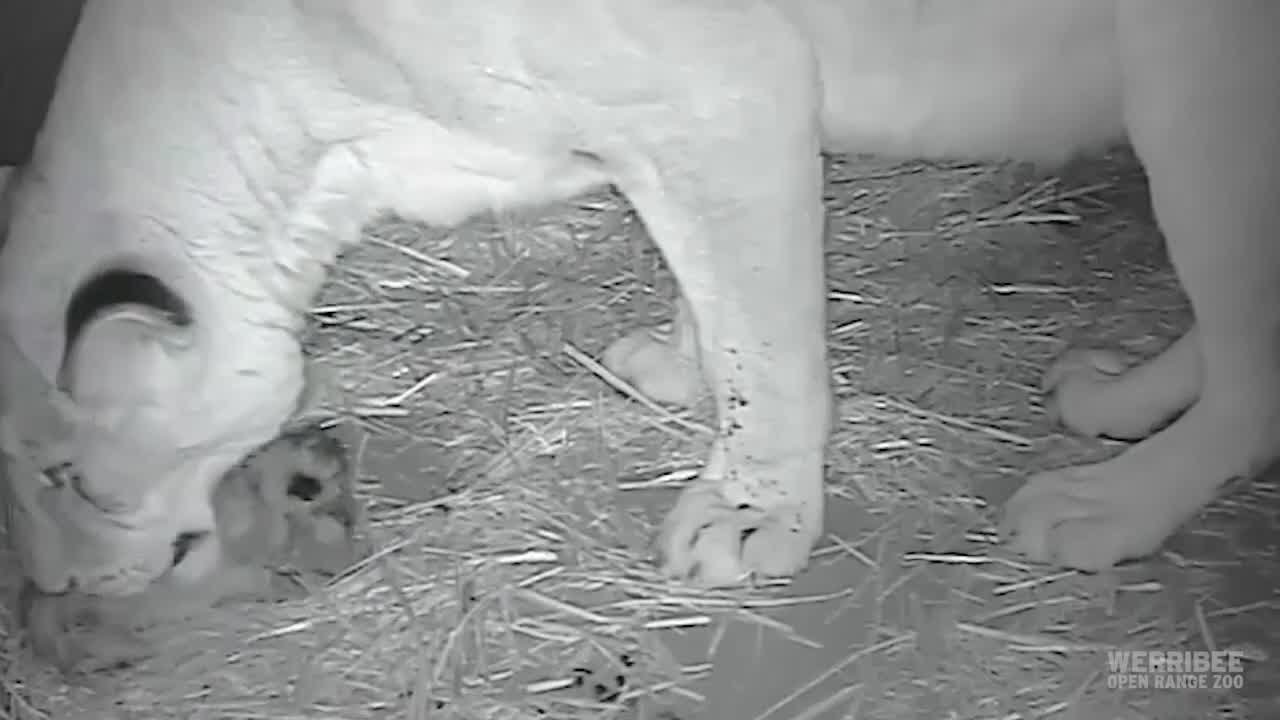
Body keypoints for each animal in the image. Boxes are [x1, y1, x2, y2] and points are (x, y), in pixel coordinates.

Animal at [1, 0, 1276, 595]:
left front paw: (753, 515)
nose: (56, 586)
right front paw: (683, 368)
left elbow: (768, 334)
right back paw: (1114, 400)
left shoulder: (731, 96)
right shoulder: (663, 134)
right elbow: (708, 285)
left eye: (72, 480)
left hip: (1192, 87)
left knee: (1256, 369)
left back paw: (1108, 502)